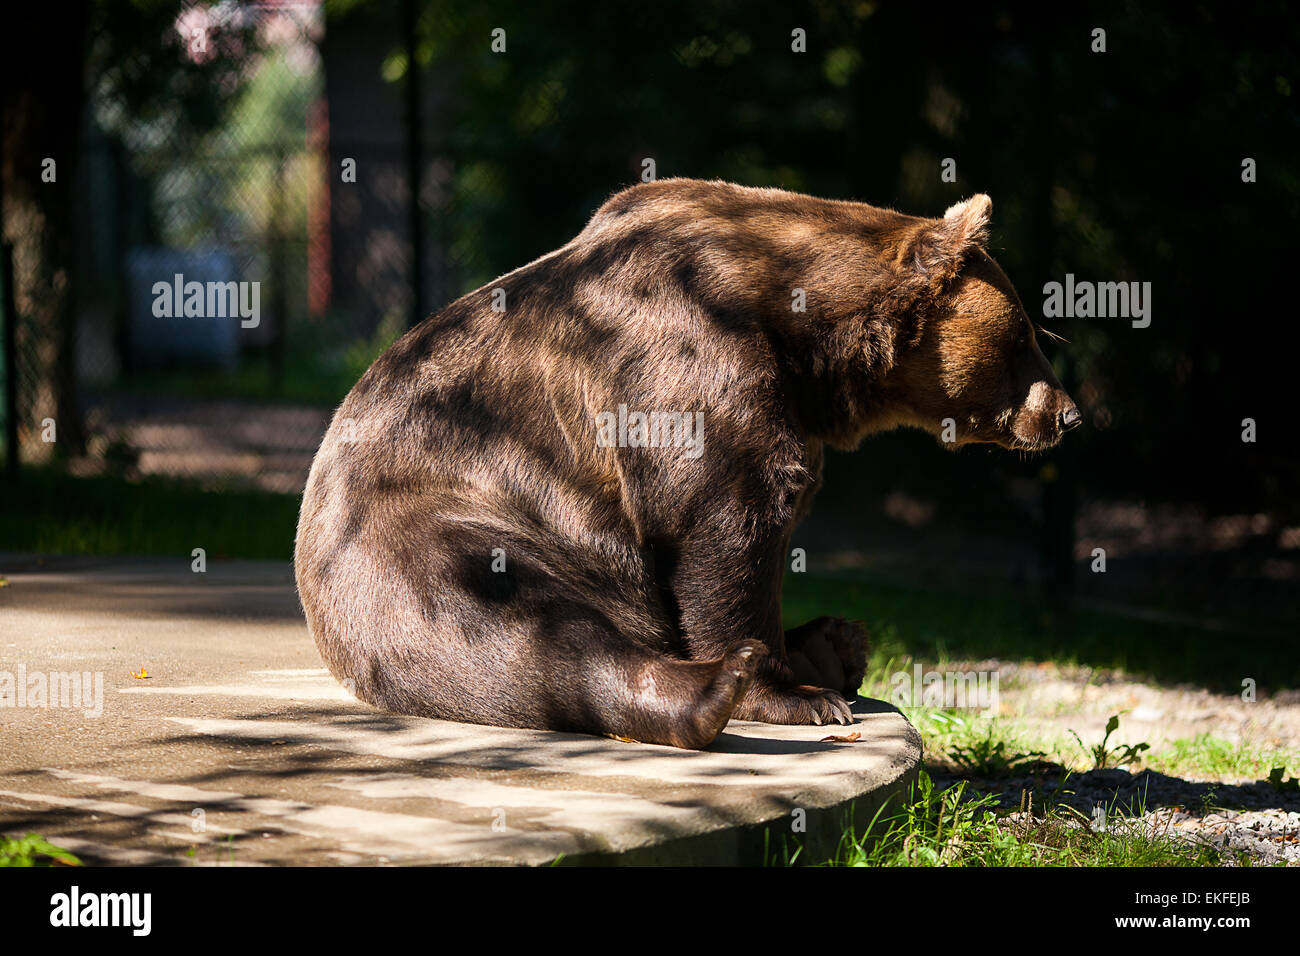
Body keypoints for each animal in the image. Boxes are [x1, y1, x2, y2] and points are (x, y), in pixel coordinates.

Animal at [292, 175, 1076, 749]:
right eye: (1026, 339)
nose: (1066, 414)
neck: (802, 340)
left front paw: (807, 659)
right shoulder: (686, 356)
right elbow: (722, 525)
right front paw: (790, 693)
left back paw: (834, 641)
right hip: (435, 532)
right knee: (518, 627)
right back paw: (715, 689)